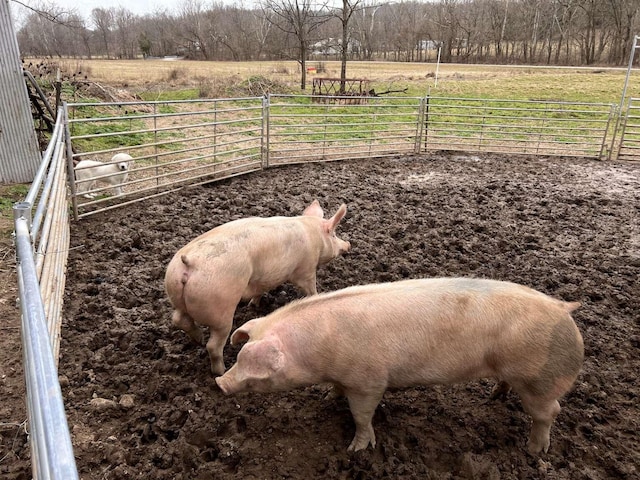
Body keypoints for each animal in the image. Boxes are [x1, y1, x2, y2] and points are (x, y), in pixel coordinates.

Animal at [162, 199, 348, 376]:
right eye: (334, 234)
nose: (348, 245)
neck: (314, 235)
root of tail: (189, 263)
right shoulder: (306, 269)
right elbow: (310, 288)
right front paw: (317, 296)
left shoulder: (263, 279)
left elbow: (259, 290)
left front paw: (253, 305)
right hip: (220, 308)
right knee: (213, 345)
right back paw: (220, 370)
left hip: (175, 293)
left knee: (179, 319)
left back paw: (198, 339)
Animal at [216, 276, 584, 456]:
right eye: (240, 355)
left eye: (256, 371)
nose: (220, 383)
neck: (319, 350)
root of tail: (563, 309)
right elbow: (337, 392)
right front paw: (327, 398)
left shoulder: (368, 381)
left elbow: (362, 415)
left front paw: (356, 450)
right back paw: (494, 397)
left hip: (539, 380)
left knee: (550, 412)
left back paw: (534, 452)